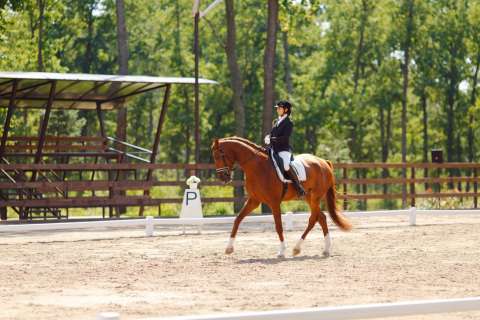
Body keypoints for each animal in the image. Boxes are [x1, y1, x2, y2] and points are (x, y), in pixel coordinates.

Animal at [211, 136, 352, 258]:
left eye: (219, 156)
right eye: (214, 157)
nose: (223, 178)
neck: (257, 167)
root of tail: (324, 162)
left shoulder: (274, 202)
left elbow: (278, 226)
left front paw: (281, 251)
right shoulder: (254, 201)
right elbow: (238, 219)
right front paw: (229, 248)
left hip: (315, 197)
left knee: (314, 218)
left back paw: (297, 248)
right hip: (309, 197)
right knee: (321, 217)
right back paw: (324, 249)